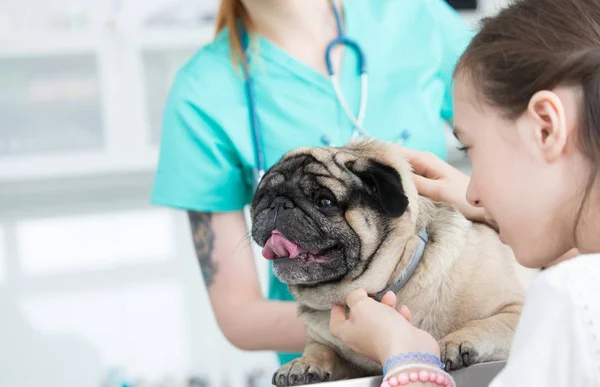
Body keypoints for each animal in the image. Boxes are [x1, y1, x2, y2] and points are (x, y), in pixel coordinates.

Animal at [251, 140, 528, 387]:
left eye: (325, 201)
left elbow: (488, 322)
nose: (279, 203)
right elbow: (321, 348)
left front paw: (455, 341)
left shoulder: (515, 309)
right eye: (262, 196)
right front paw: (303, 362)